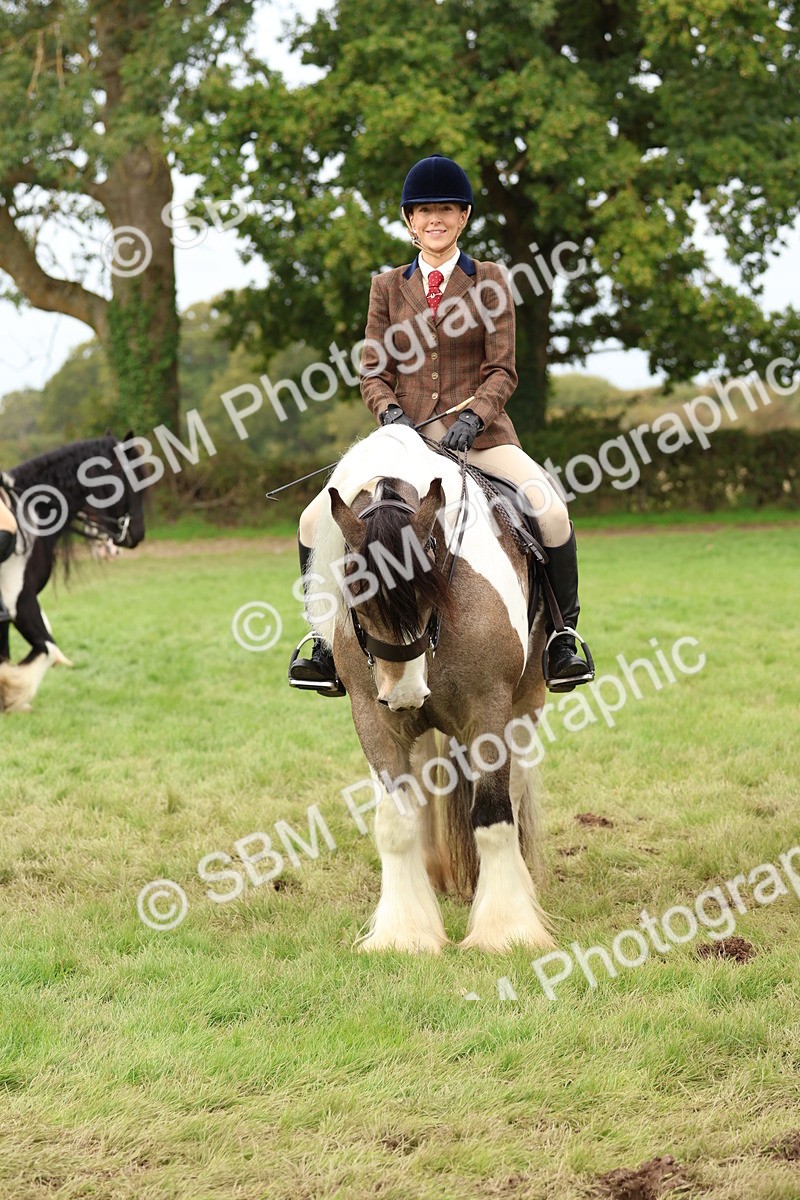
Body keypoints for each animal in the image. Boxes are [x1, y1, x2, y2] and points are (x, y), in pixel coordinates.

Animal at [306, 425, 556, 953]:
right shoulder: (373, 715)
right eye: (354, 593)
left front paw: (506, 931)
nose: (404, 694)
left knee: (514, 791)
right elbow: (395, 823)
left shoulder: (489, 708)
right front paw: (404, 934)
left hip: (525, 702)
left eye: (432, 585)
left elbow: (494, 815)